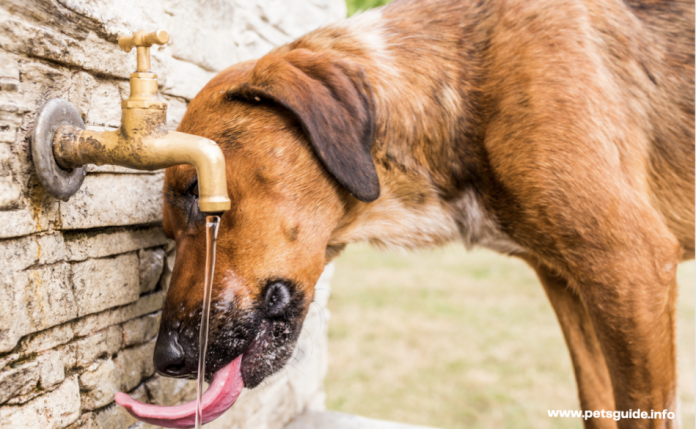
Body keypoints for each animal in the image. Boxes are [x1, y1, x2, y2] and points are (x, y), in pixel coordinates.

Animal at [154, 1, 696, 426]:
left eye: (197, 189)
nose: (166, 359)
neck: (462, 86)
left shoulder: (629, 269)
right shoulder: (567, 282)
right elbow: (596, 402)